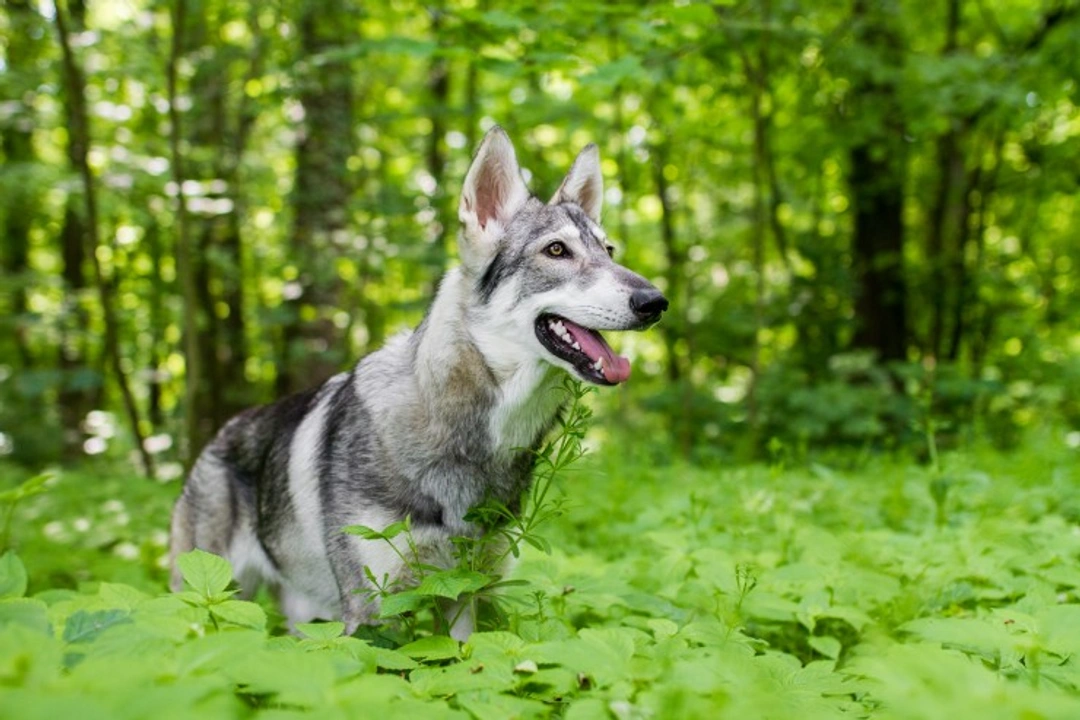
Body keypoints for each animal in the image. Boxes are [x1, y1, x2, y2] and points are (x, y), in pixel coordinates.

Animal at [169, 126, 668, 640]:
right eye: (556, 250)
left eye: (609, 252)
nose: (655, 301)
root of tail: (219, 435)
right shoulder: (371, 613)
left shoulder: (466, 593)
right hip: (211, 604)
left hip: (306, 615)